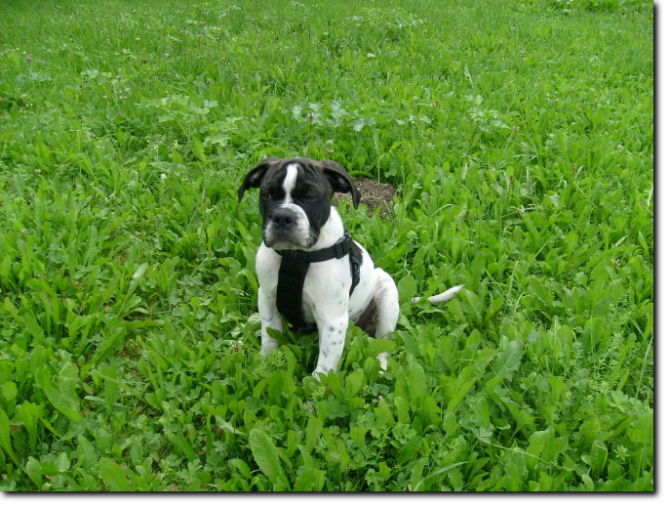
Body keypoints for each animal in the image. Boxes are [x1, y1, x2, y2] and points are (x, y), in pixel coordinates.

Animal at [236, 158, 462, 378]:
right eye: (267, 194)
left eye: (310, 196)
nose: (283, 217)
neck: (295, 257)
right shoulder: (267, 300)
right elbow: (269, 339)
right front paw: (266, 367)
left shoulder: (332, 320)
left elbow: (324, 367)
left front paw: (316, 389)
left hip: (386, 297)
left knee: (384, 343)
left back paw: (381, 366)